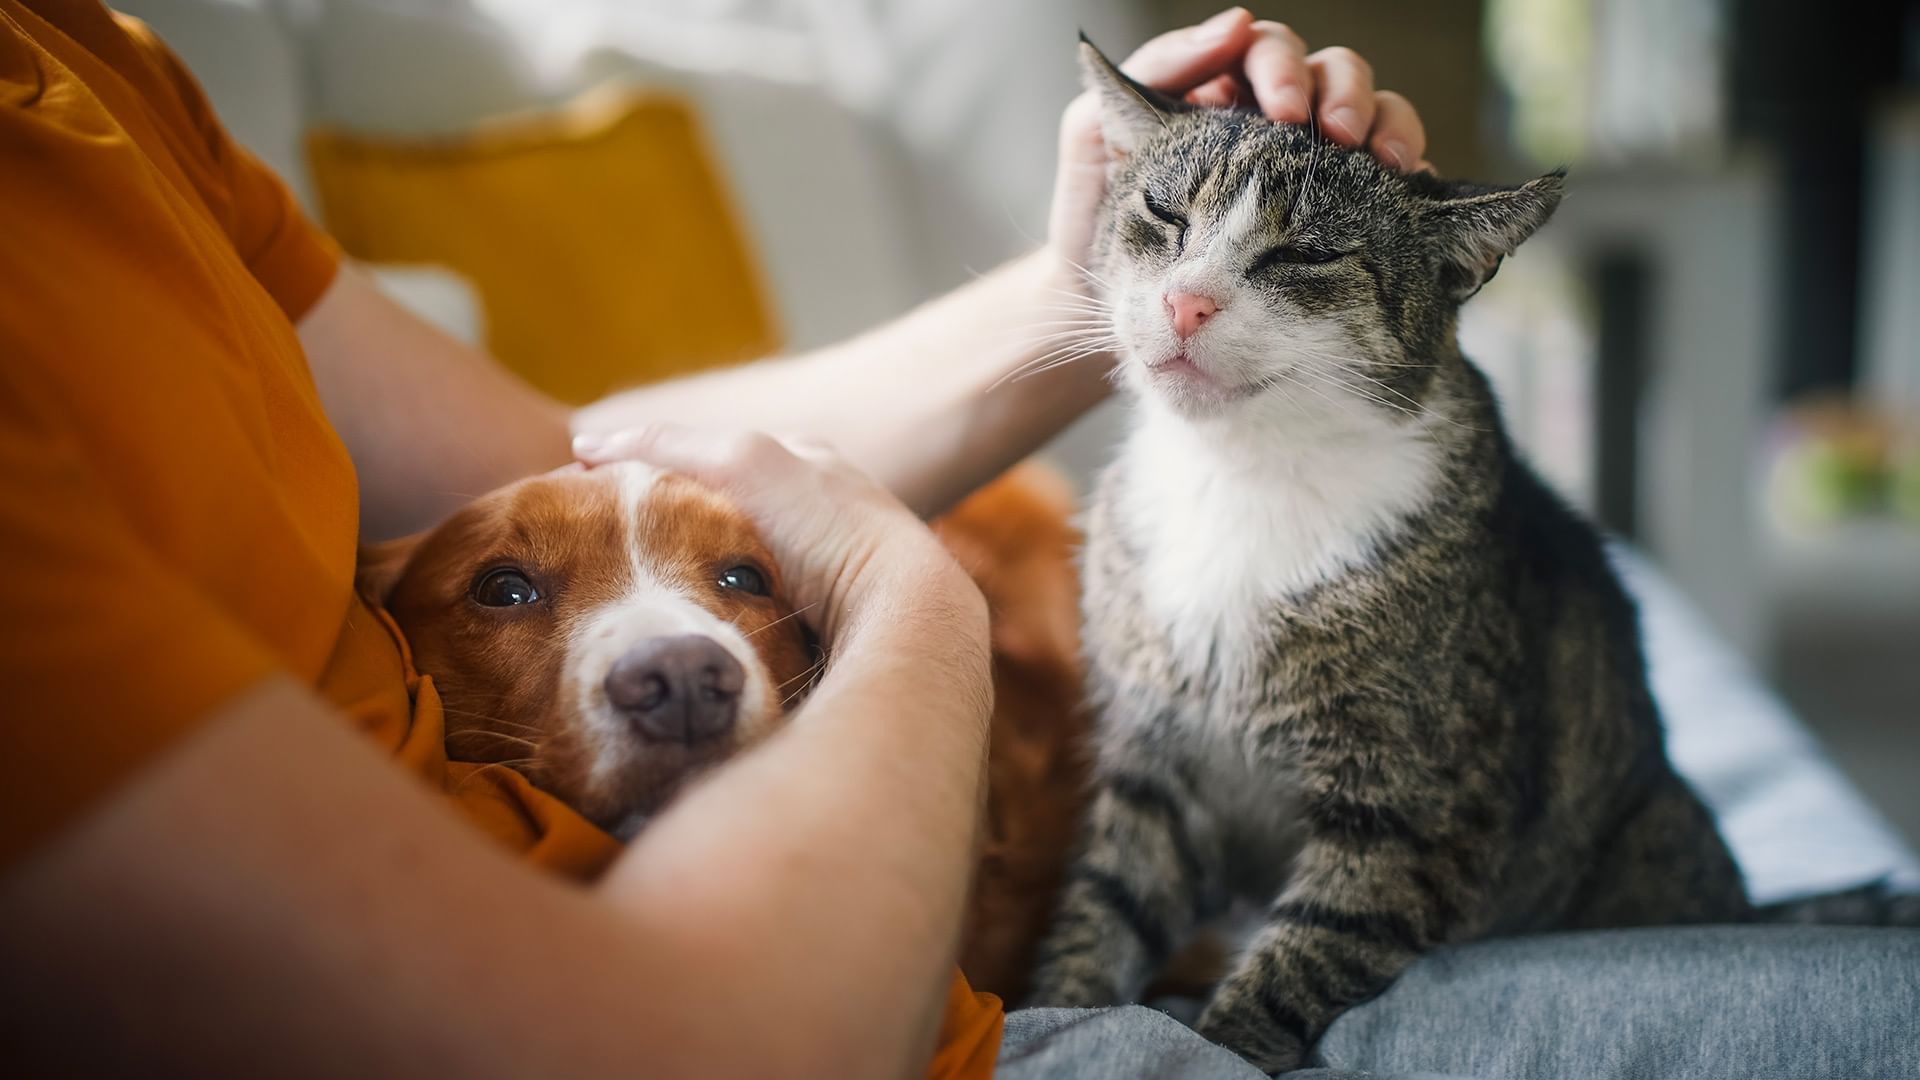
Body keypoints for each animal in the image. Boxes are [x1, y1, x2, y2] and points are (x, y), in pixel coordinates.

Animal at [1036, 39, 1758, 1068]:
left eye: (1305, 253)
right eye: (1164, 214)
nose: (1184, 304)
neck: (1245, 474)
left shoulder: (1417, 813)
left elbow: (1296, 961)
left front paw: (1221, 1043)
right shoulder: (1152, 768)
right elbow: (1101, 917)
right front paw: (1057, 1012)